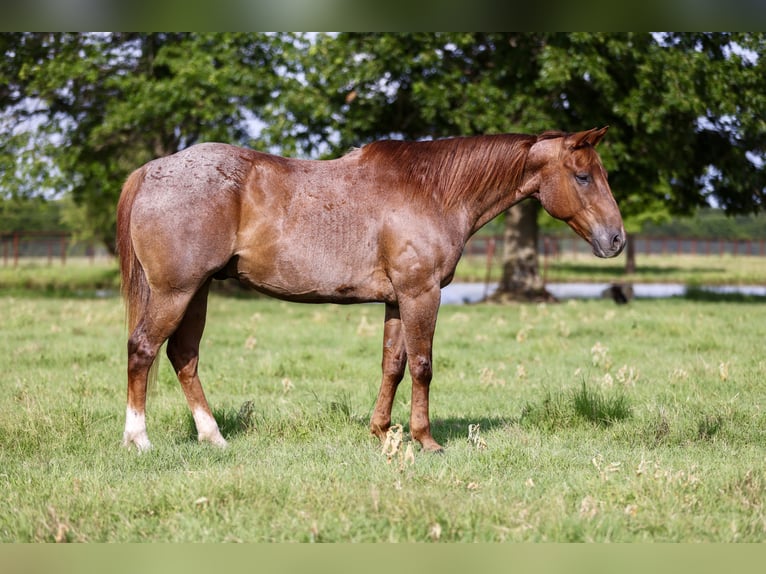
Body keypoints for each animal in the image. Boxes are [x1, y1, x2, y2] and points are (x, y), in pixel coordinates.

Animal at [116, 126, 625, 453]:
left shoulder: (397, 300)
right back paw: (139, 439)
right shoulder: (421, 294)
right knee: (143, 349)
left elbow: (392, 366)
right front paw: (425, 440)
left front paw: (381, 432)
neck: (433, 191)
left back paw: (213, 437)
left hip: (197, 292)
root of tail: (151, 171)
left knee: (183, 357)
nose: (616, 239)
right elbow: (421, 367)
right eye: (583, 176)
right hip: (175, 292)